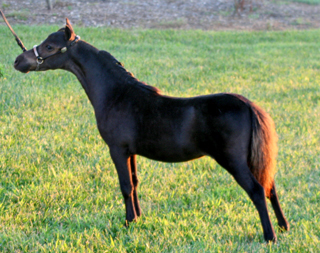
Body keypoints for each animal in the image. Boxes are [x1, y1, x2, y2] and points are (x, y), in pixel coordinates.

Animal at [14, 18, 290, 242]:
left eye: (50, 46)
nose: (18, 60)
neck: (117, 94)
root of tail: (247, 105)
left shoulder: (117, 149)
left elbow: (125, 186)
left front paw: (127, 223)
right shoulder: (131, 151)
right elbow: (135, 183)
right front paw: (137, 218)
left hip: (234, 161)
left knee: (257, 191)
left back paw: (270, 236)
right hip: (251, 159)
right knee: (270, 187)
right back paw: (284, 227)